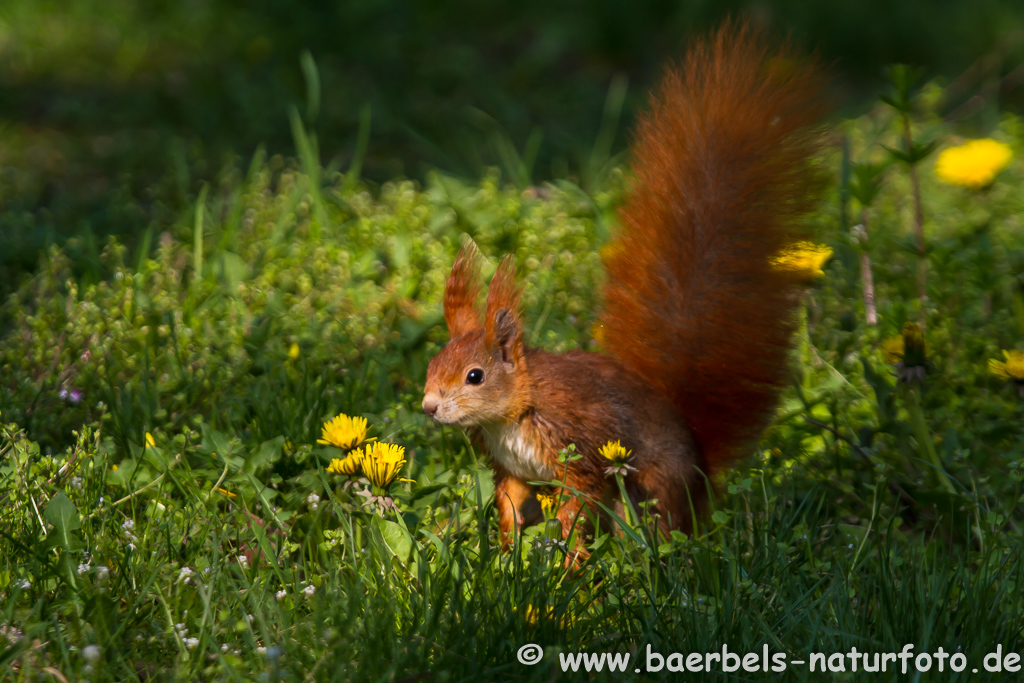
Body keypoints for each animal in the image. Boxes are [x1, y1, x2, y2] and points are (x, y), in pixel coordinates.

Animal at [419, 24, 827, 548]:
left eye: (475, 376)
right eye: (433, 364)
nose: (429, 406)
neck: (512, 415)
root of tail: (700, 473)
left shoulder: (580, 451)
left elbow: (579, 510)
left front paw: (568, 560)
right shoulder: (510, 468)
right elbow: (510, 502)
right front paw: (507, 553)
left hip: (653, 487)